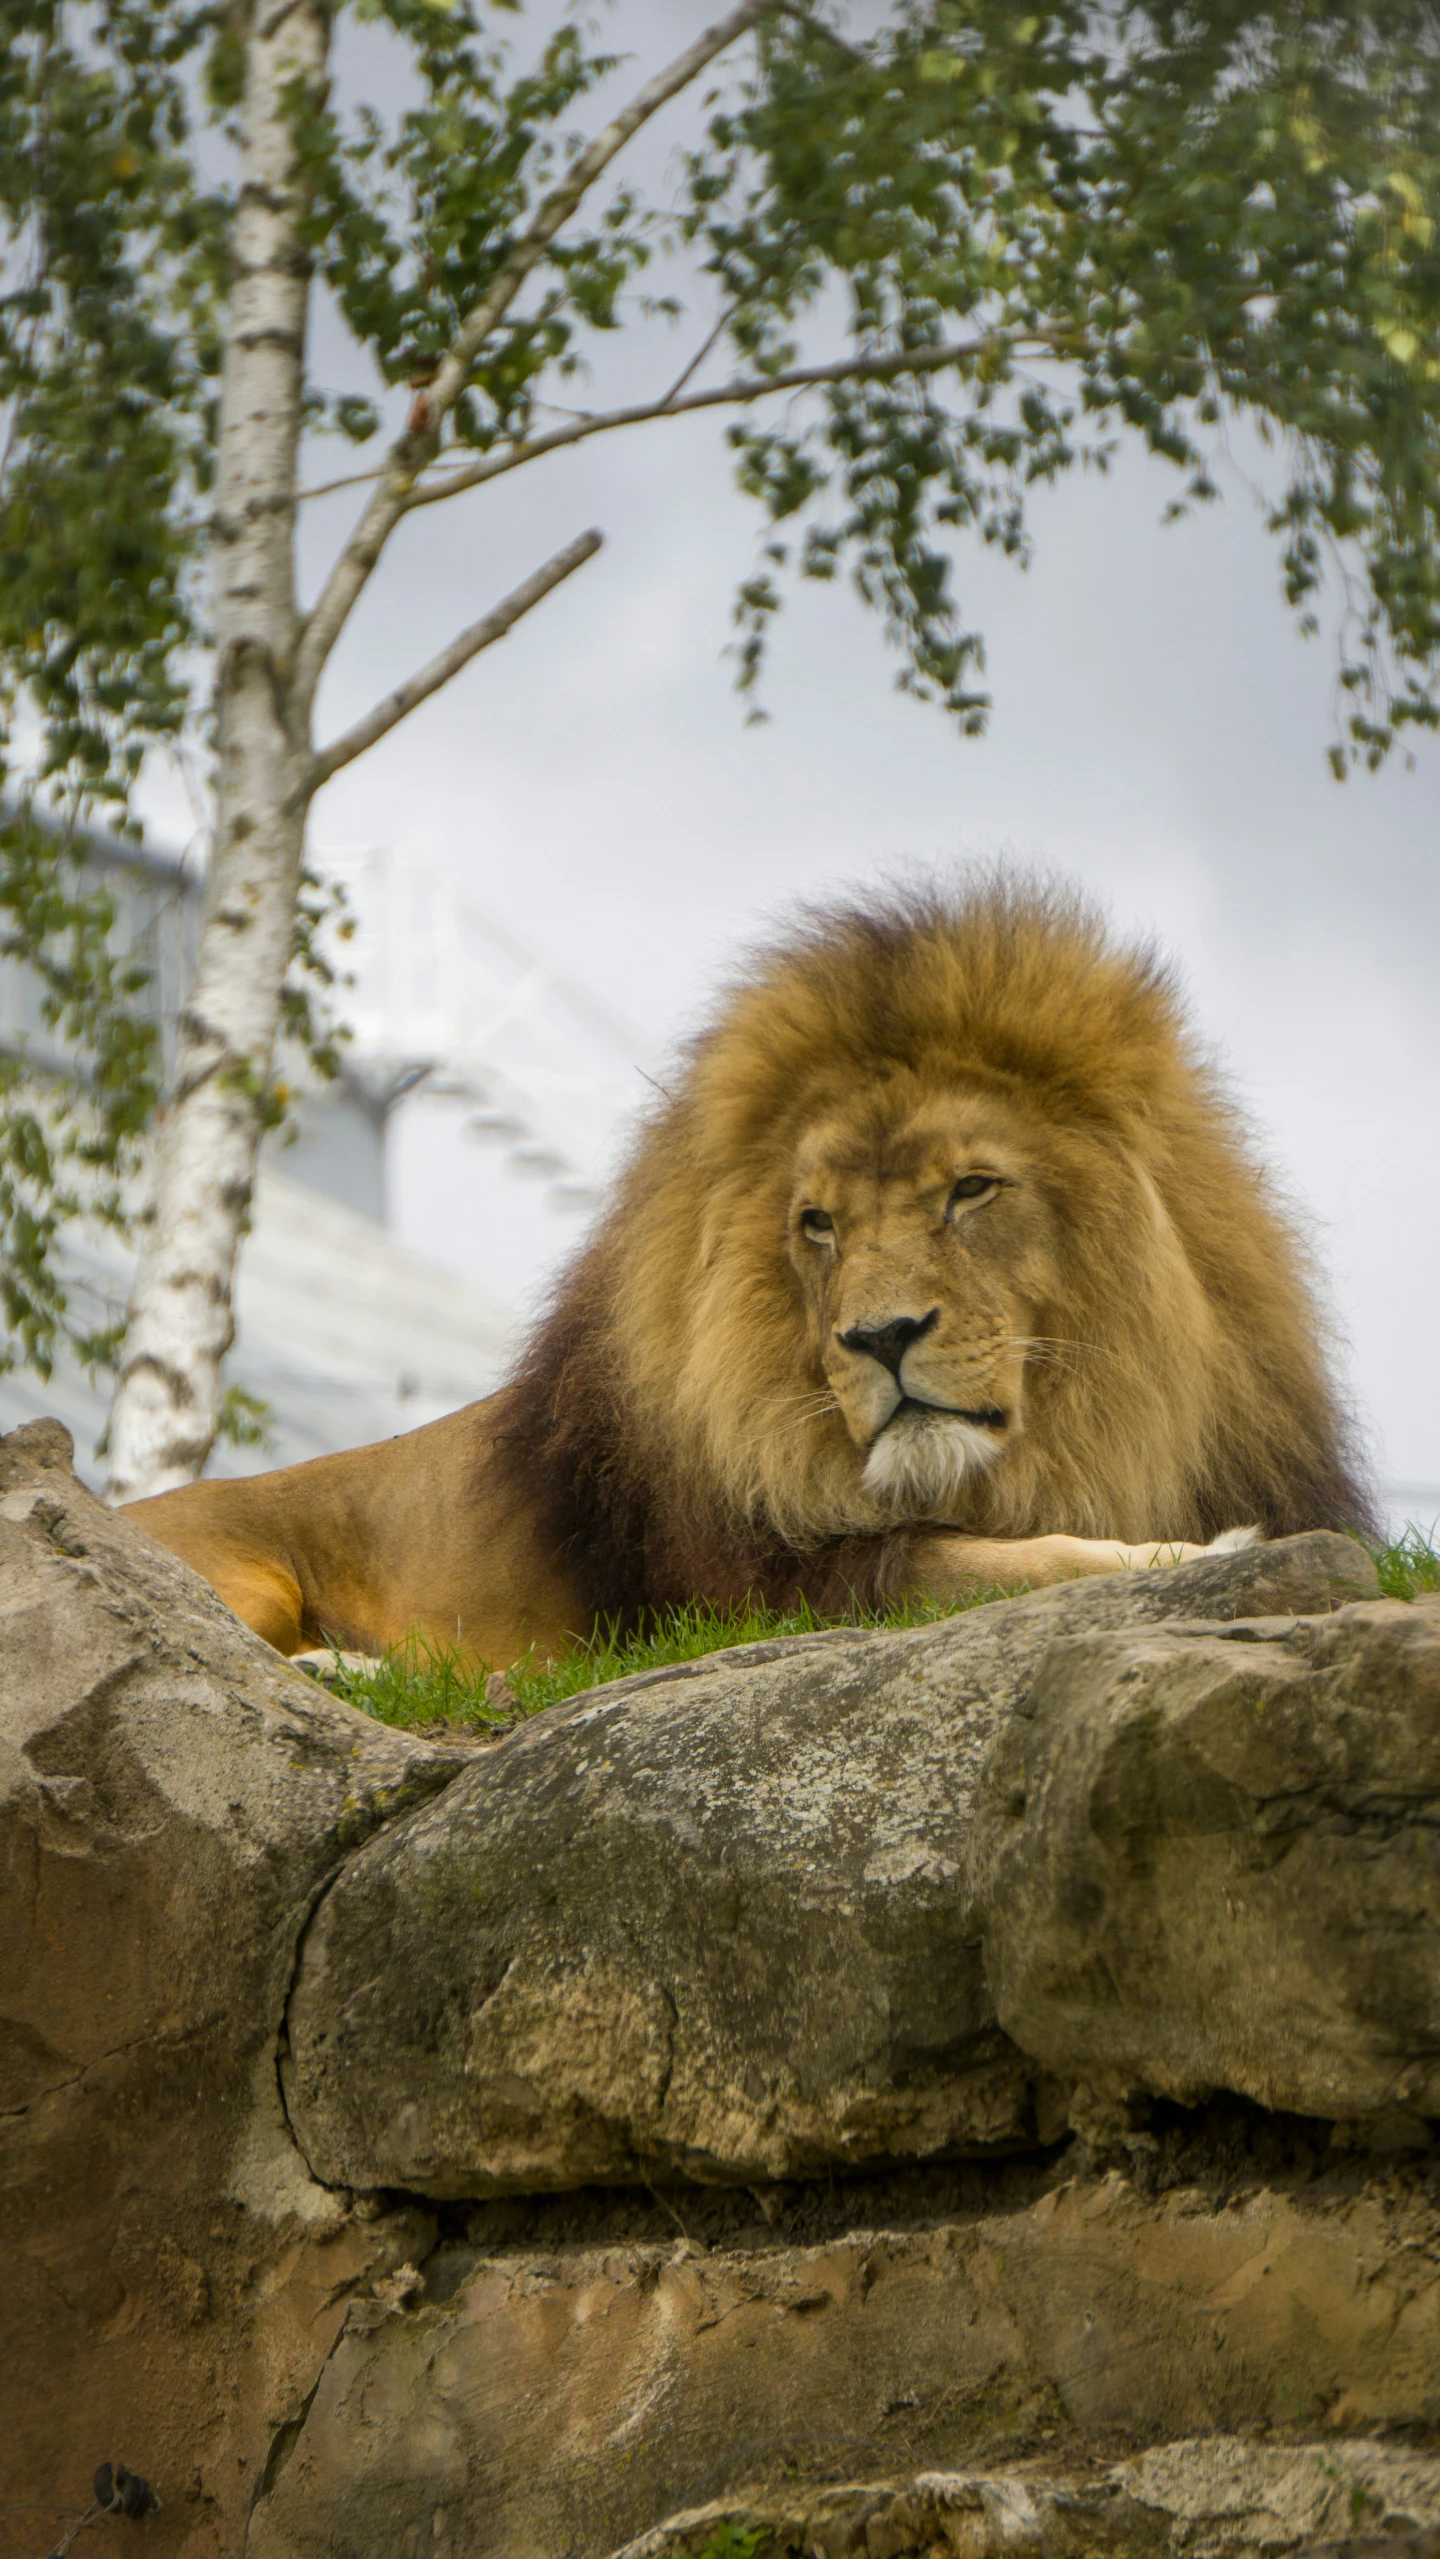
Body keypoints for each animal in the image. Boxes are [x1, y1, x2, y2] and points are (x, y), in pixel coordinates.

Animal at [124, 890, 1370, 1668]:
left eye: (971, 1190)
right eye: (816, 1224)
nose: (880, 1339)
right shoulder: (767, 1594)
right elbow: (992, 1561)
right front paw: (1200, 1555)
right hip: (243, 1575)